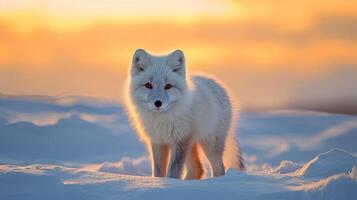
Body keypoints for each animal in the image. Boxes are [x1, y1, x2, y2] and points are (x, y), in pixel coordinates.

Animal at [124, 48, 243, 180]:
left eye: (168, 86)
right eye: (148, 85)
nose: (158, 103)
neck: (162, 120)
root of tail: (215, 83)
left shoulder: (180, 141)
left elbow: (173, 171)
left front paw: (171, 182)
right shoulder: (158, 141)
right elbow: (158, 171)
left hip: (209, 145)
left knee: (219, 168)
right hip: (191, 145)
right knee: (198, 169)